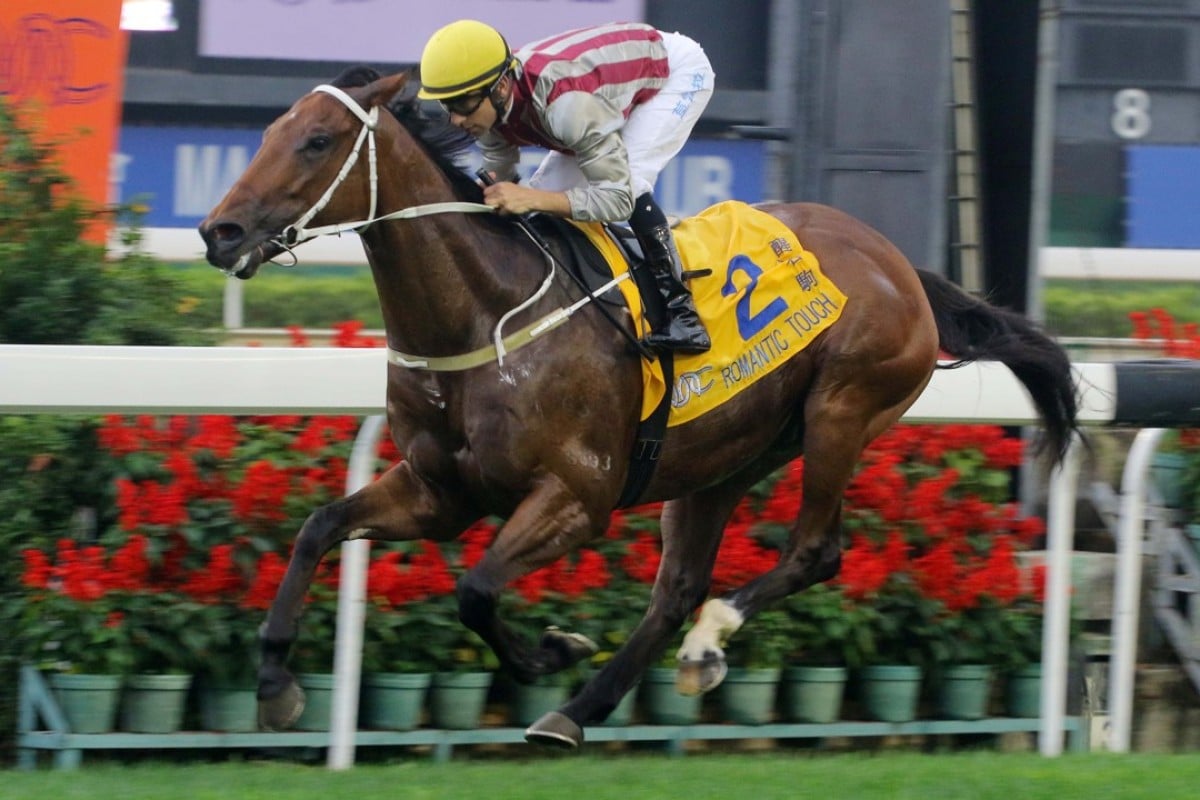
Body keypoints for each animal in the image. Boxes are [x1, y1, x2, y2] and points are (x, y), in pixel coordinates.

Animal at [196, 65, 1080, 748]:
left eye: (316, 142)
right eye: (272, 131)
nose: (218, 230)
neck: (486, 316)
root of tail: (898, 264)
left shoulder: (575, 497)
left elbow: (475, 589)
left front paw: (552, 648)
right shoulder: (437, 493)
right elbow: (318, 528)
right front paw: (273, 681)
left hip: (843, 412)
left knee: (813, 552)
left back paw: (705, 645)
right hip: (725, 455)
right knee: (678, 587)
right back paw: (577, 711)